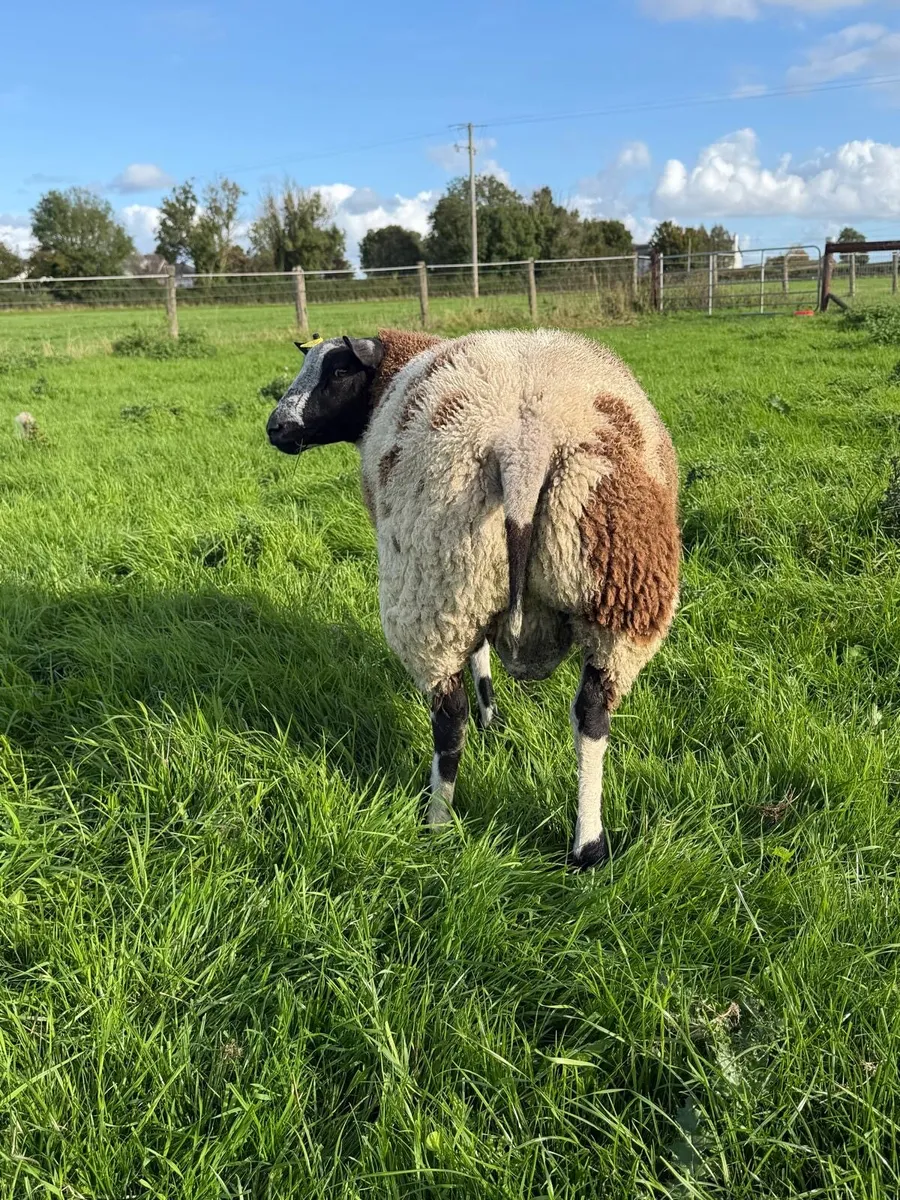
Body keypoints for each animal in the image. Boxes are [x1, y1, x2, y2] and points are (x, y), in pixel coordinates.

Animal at [266, 327, 680, 867]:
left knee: (448, 719)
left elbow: (478, 657)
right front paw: (497, 721)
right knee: (592, 715)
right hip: (622, 597)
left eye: (337, 370)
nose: (276, 427)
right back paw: (588, 847)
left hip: (435, 587)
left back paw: (437, 823)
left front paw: (489, 721)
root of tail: (524, 447)